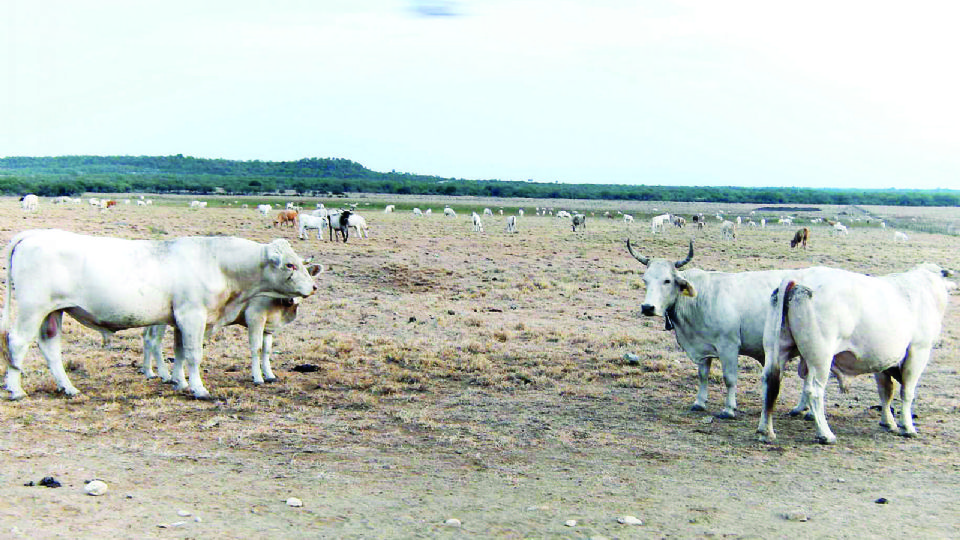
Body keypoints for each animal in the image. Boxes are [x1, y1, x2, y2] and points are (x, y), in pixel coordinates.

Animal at [0, 229, 318, 400]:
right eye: (290, 264)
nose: (313, 286)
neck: (216, 262)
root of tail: (35, 234)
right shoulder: (192, 316)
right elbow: (193, 355)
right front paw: (198, 388)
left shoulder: (179, 319)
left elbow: (178, 353)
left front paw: (179, 382)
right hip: (32, 308)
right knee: (17, 343)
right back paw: (16, 389)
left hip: (53, 313)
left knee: (50, 347)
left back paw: (68, 388)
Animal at [756, 264, 952, 446]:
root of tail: (797, 279)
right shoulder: (918, 351)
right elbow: (907, 392)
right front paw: (908, 427)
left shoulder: (881, 360)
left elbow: (885, 391)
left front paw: (888, 422)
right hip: (821, 358)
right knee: (815, 391)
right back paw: (825, 434)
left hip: (776, 349)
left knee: (770, 383)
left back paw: (765, 431)